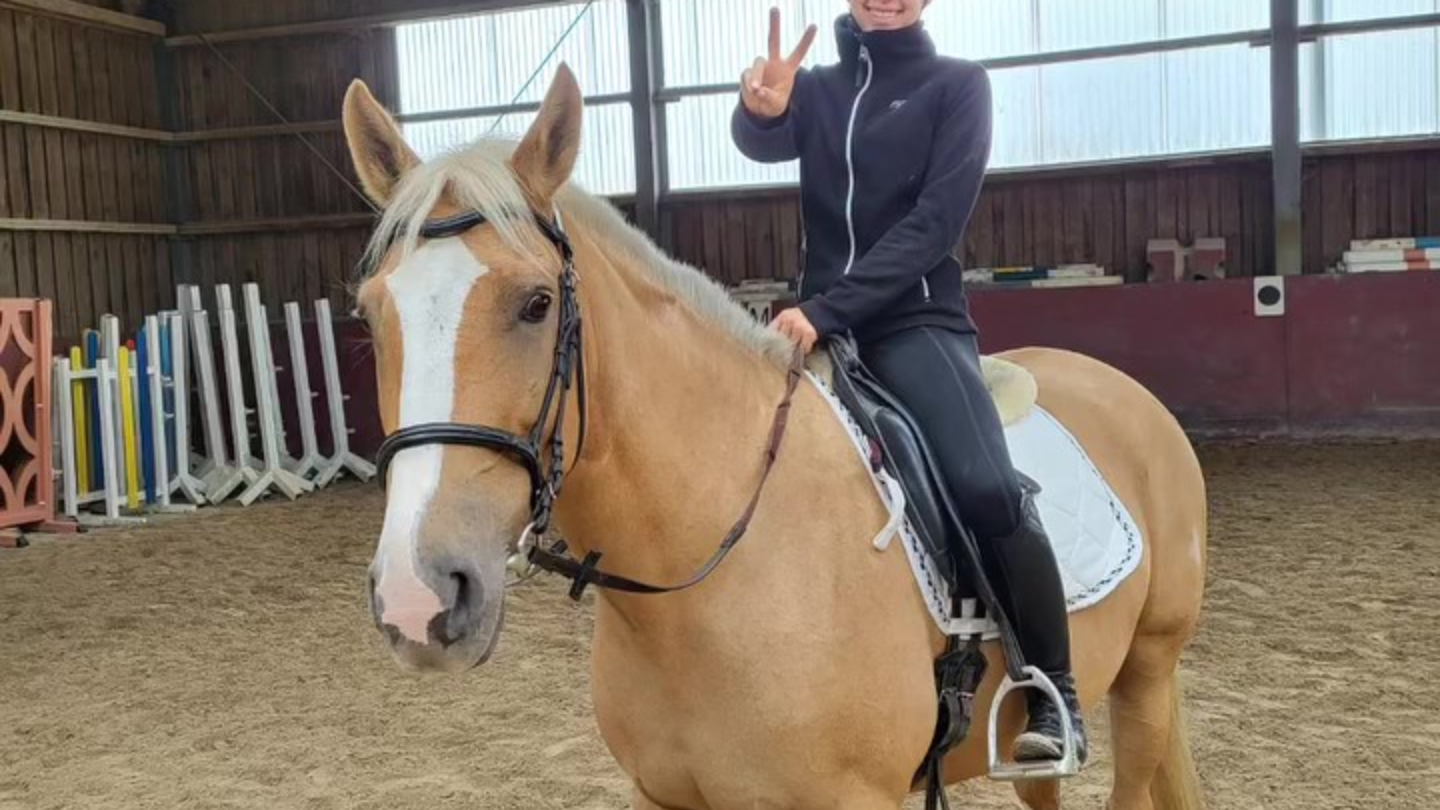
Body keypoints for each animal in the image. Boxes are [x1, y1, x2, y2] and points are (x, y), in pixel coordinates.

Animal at [342, 62, 1209, 810]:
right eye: (370, 314)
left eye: (534, 304)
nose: (418, 596)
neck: (714, 572)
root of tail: (1118, 388)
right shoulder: (660, 796)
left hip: (1145, 674)